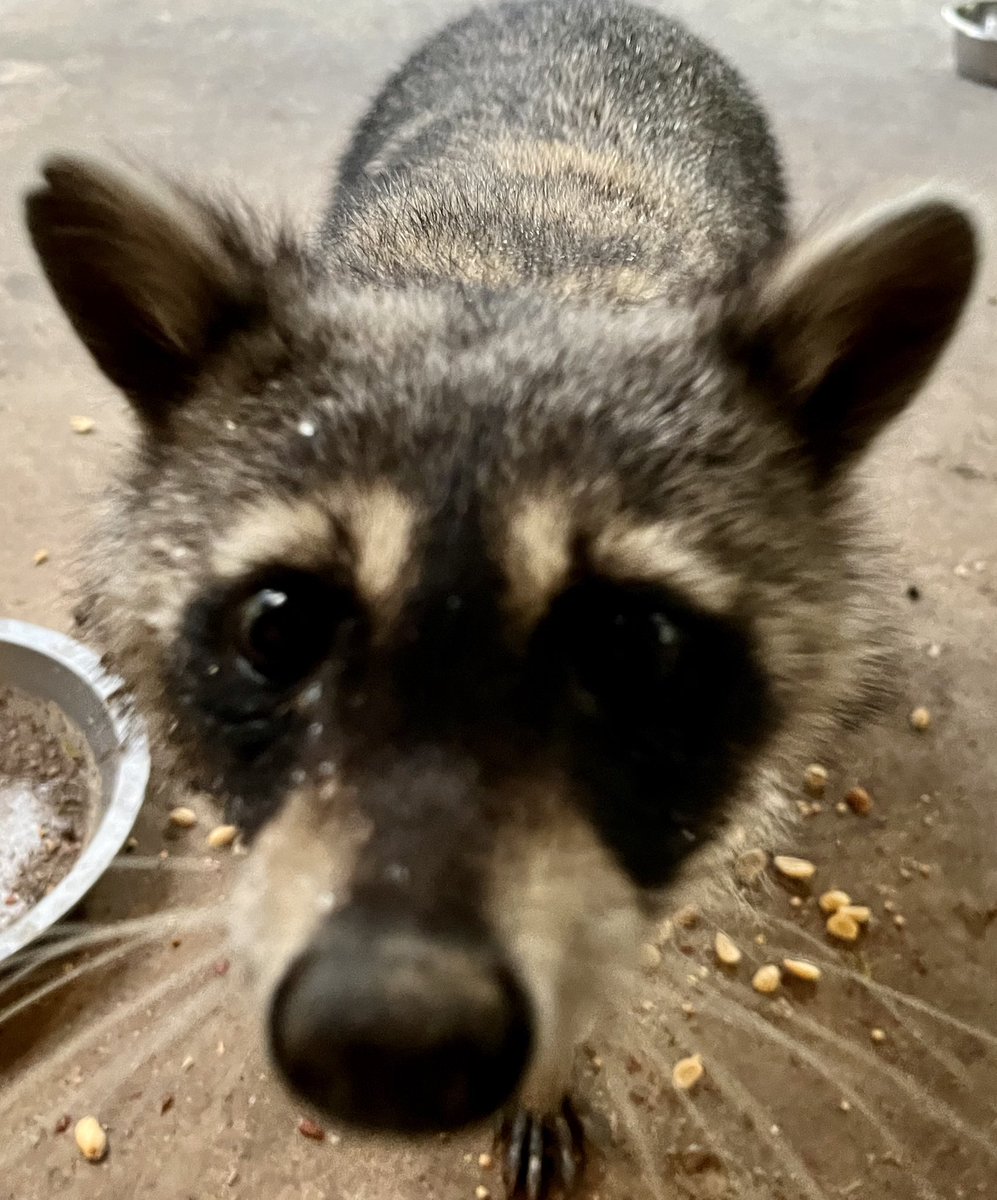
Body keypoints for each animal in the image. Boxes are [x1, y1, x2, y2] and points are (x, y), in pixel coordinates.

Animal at [24, 0, 976, 1196]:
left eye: (634, 645)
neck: (525, 288)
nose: (388, 1042)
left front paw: (552, 1065)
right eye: (277, 630)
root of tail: (589, 8)